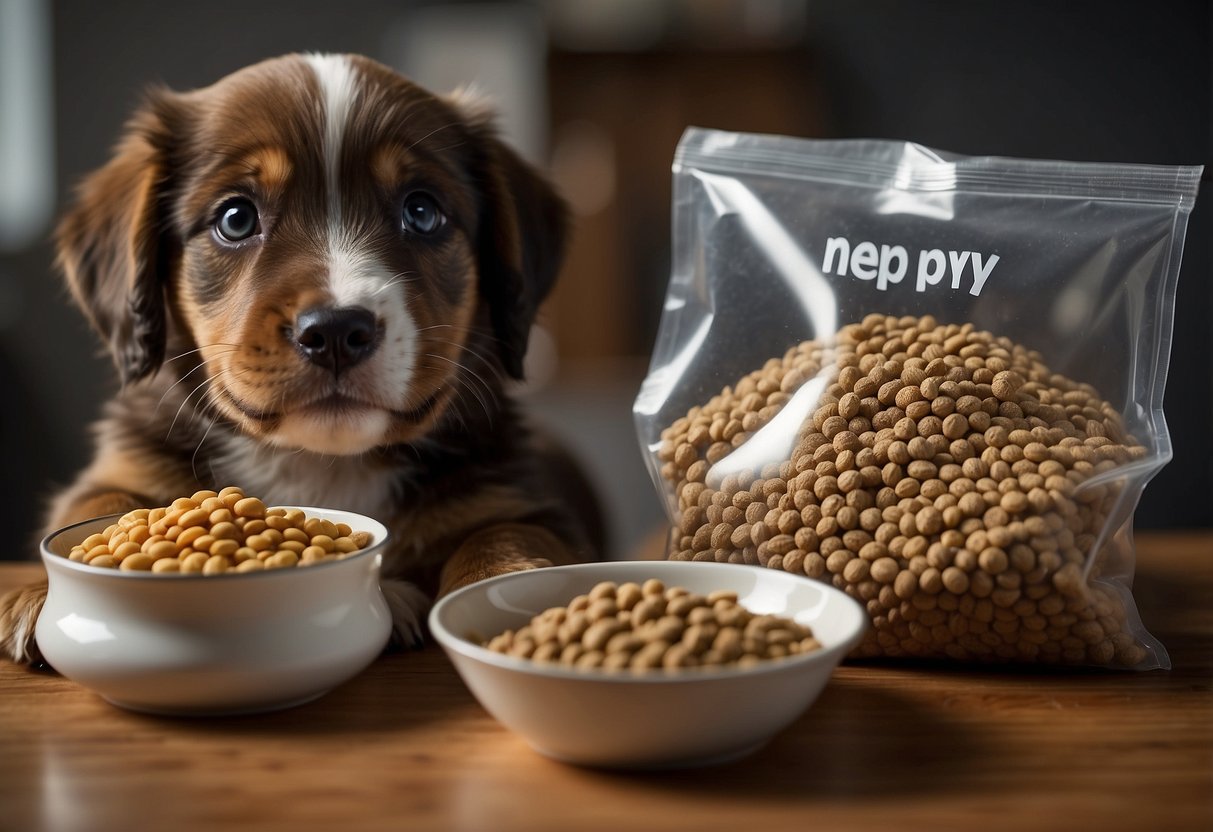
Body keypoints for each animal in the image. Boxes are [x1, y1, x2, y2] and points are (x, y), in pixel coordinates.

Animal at [0, 50, 601, 664]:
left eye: (422, 211)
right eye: (236, 218)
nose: (336, 331)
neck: (320, 462)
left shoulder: (520, 500)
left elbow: (502, 537)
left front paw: (508, 600)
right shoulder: (123, 465)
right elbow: (99, 508)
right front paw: (46, 593)